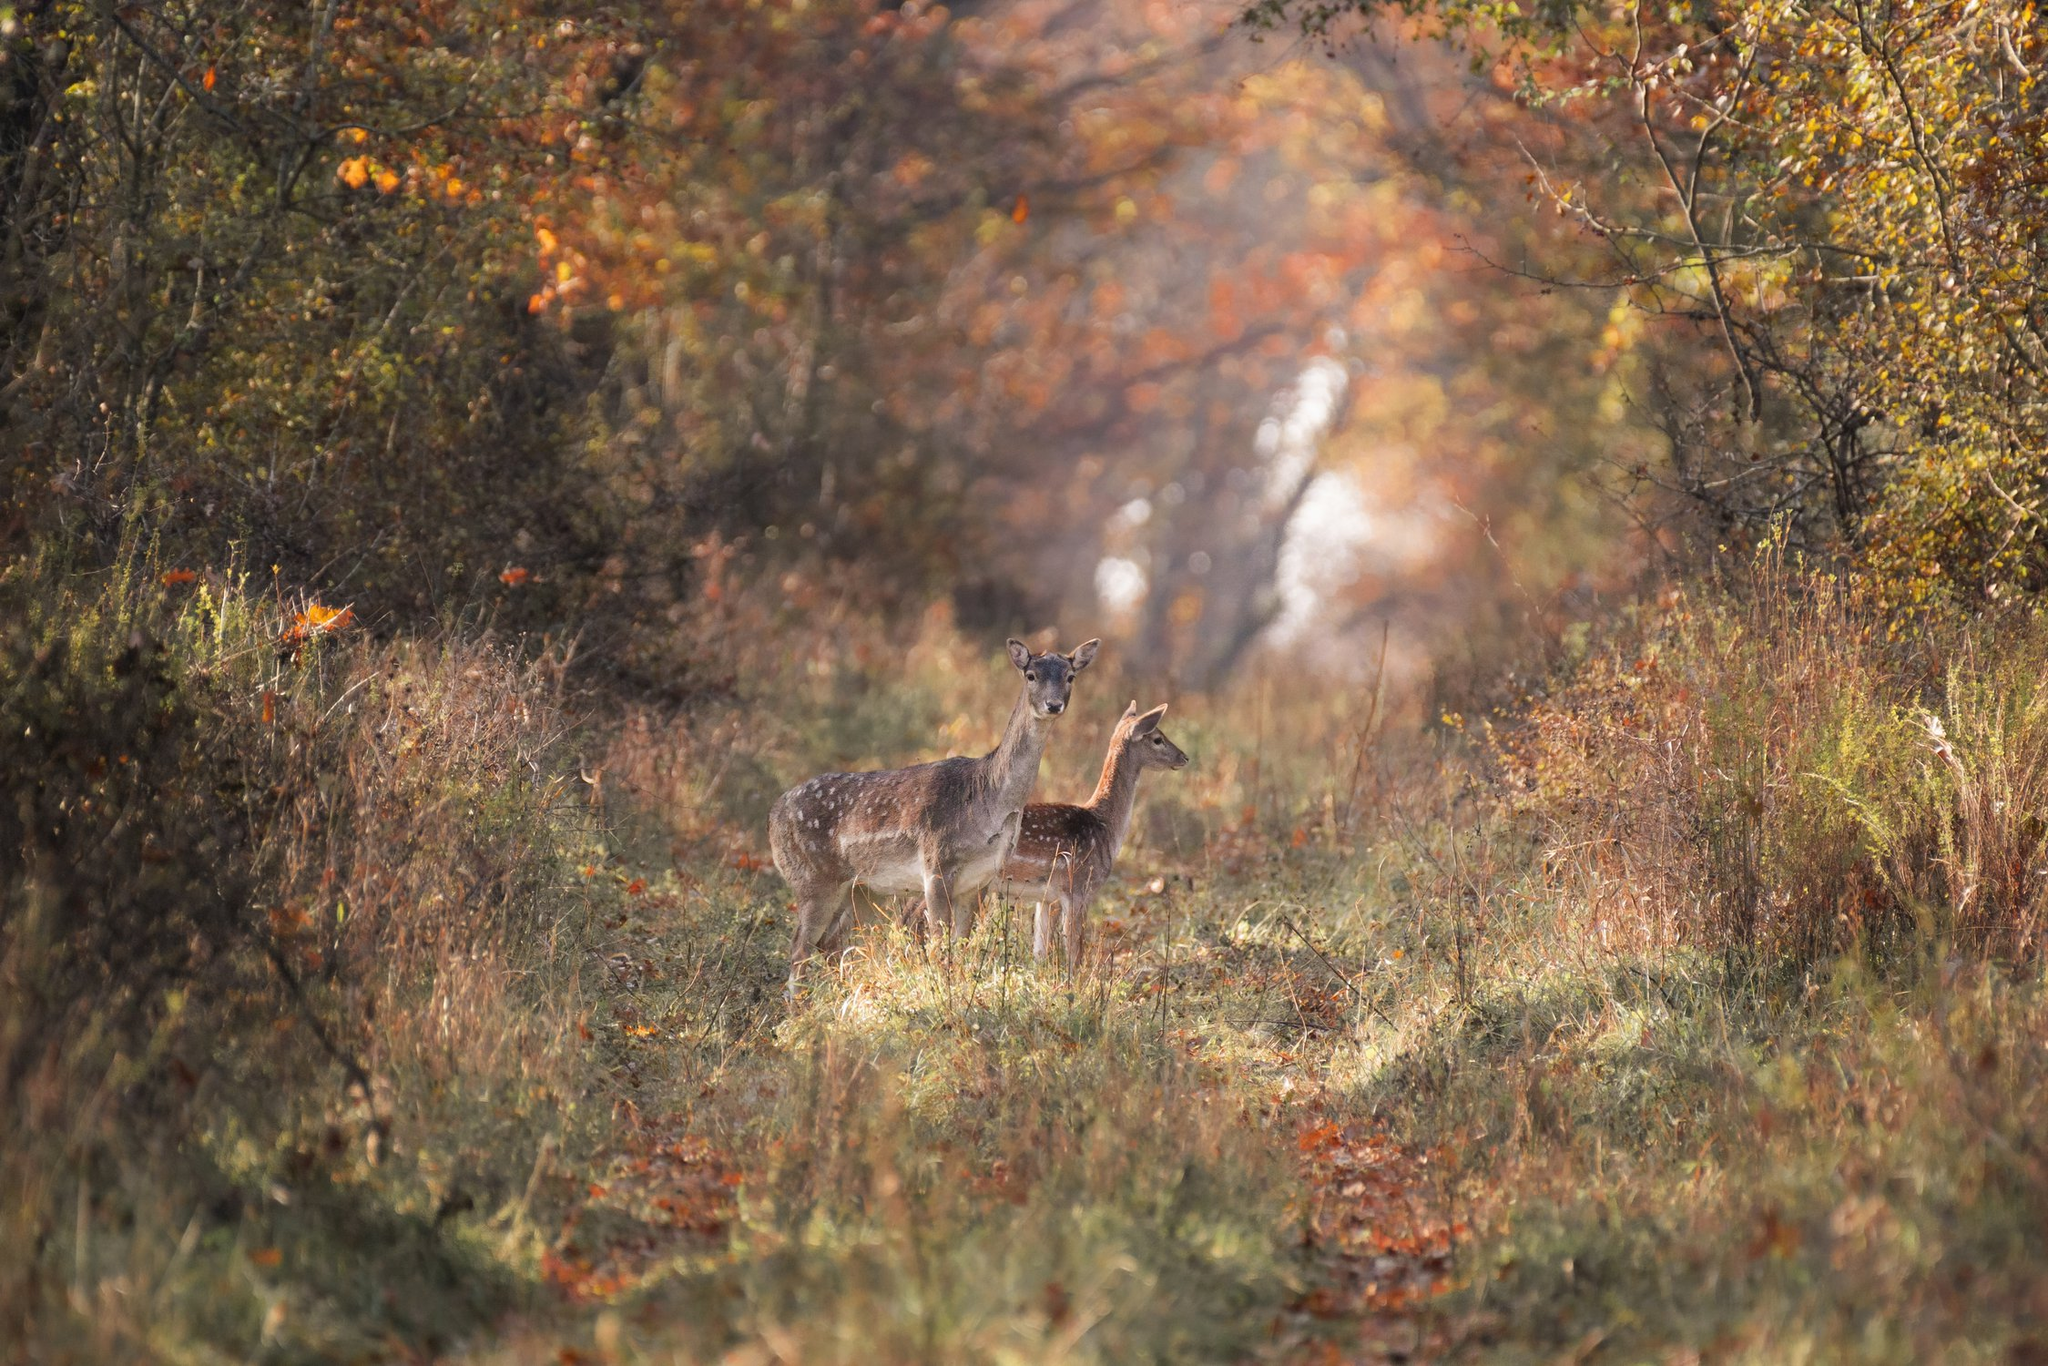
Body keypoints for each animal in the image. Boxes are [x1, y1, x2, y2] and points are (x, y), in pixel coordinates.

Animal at [765, 634, 1097, 987]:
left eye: (1070, 676)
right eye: (1031, 675)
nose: (1053, 705)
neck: (989, 804)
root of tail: (772, 816)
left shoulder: (980, 880)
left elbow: (961, 944)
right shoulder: (937, 864)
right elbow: (939, 945)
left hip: (862, 889)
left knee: (827, 942)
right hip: (813, 878)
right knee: (799, 946)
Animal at [999, 704, 1196, 970]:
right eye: (1157, 738)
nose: (1184, 757)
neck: (1105, 828)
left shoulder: (1046, 897)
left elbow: (1040, 953)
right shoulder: (1078, 888)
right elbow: (1074, 953)